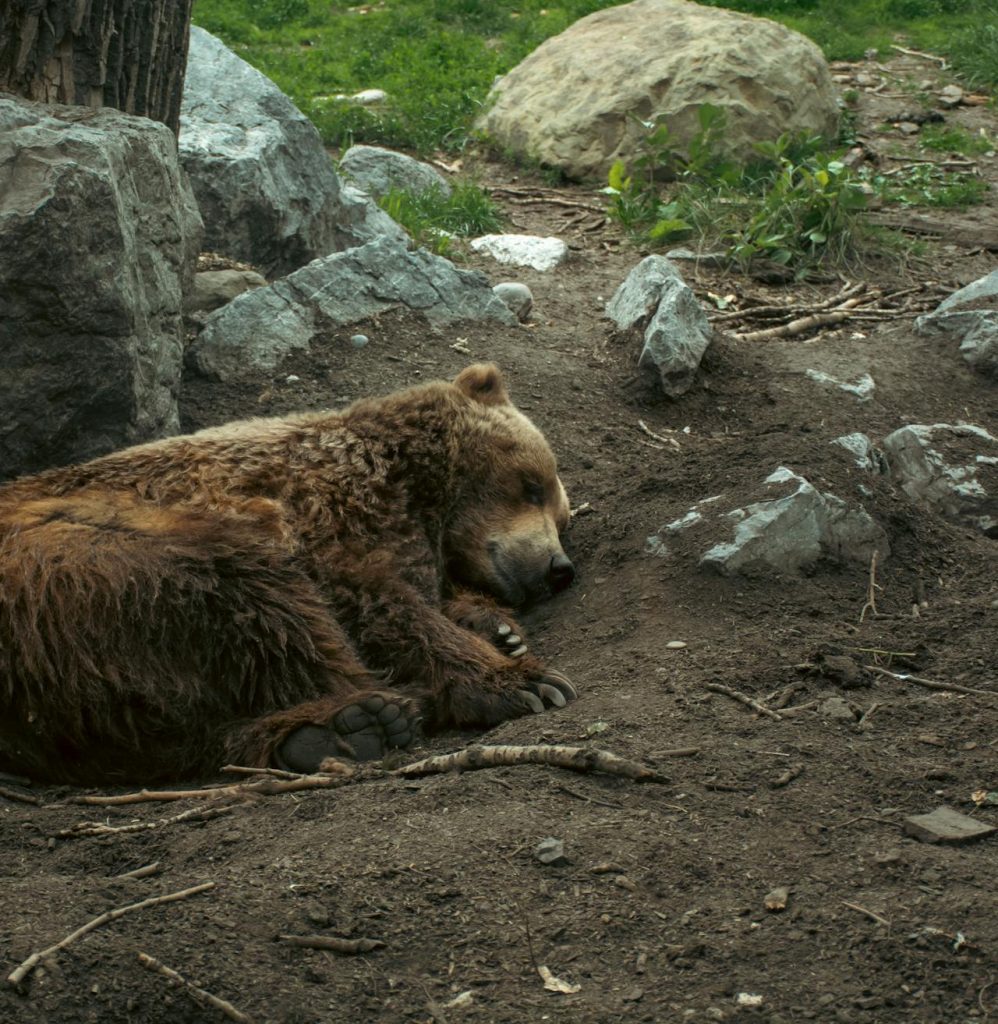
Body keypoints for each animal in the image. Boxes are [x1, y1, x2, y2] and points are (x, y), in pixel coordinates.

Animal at [0, 368, 577, 782]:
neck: (417, 487)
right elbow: (380, 604)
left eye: (562, 518)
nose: (558, 568)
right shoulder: (330, 511)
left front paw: (497, 629)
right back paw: (375, 711)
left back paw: (329, 733)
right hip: (99, 554)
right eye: (531, 485)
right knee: (257, 601)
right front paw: (523, 680)